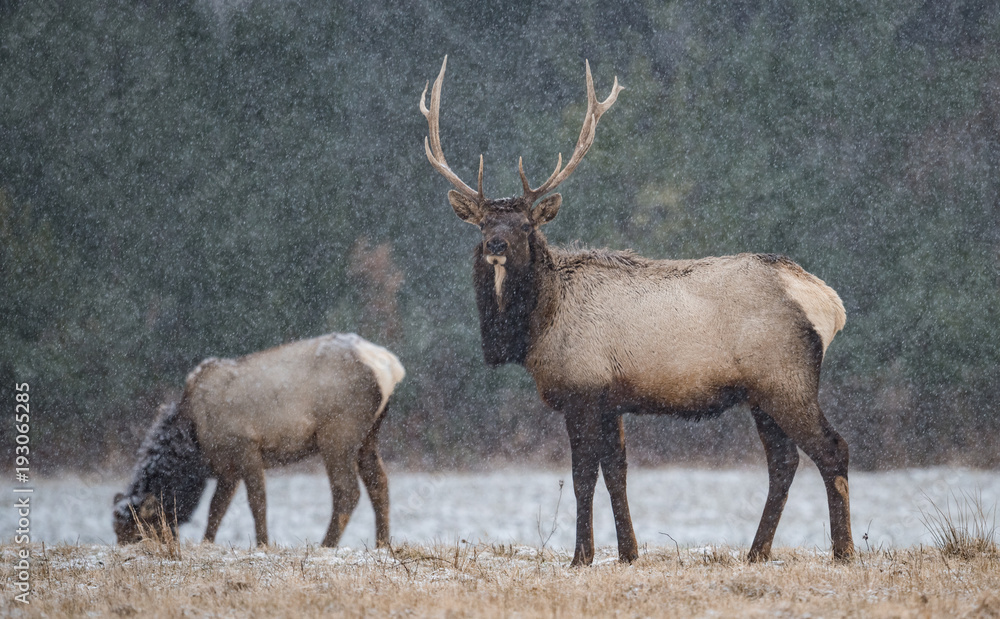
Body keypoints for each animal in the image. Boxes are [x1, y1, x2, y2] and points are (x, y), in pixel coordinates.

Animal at [113, 333, 405, 549]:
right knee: (379, 483)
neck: (194, 440)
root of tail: (390, 367)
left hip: (338, 433)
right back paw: (382, 544)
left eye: (138, 532)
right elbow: (216, 508)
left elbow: (257, 501)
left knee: (347, 491)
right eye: (118, 532)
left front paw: (263, 544)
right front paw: (207, 542)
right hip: (369, 434)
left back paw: (326, 545)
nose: (126, 550)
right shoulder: (226, 466)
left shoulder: (245, 445)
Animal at [419, 56, 853, 565]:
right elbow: (617, 474)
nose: (496, 245)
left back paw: (843, 551)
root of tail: (830, 304)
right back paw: (757, 552)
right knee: (784, 461)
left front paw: (581, 556)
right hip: (762, 394)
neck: (539, 327)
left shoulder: (583, 390)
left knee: (832, 448)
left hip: (786, 378)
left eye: (526, 225)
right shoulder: (611, 400)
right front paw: (628, 553)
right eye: (485, 222)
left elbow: (583, 477)